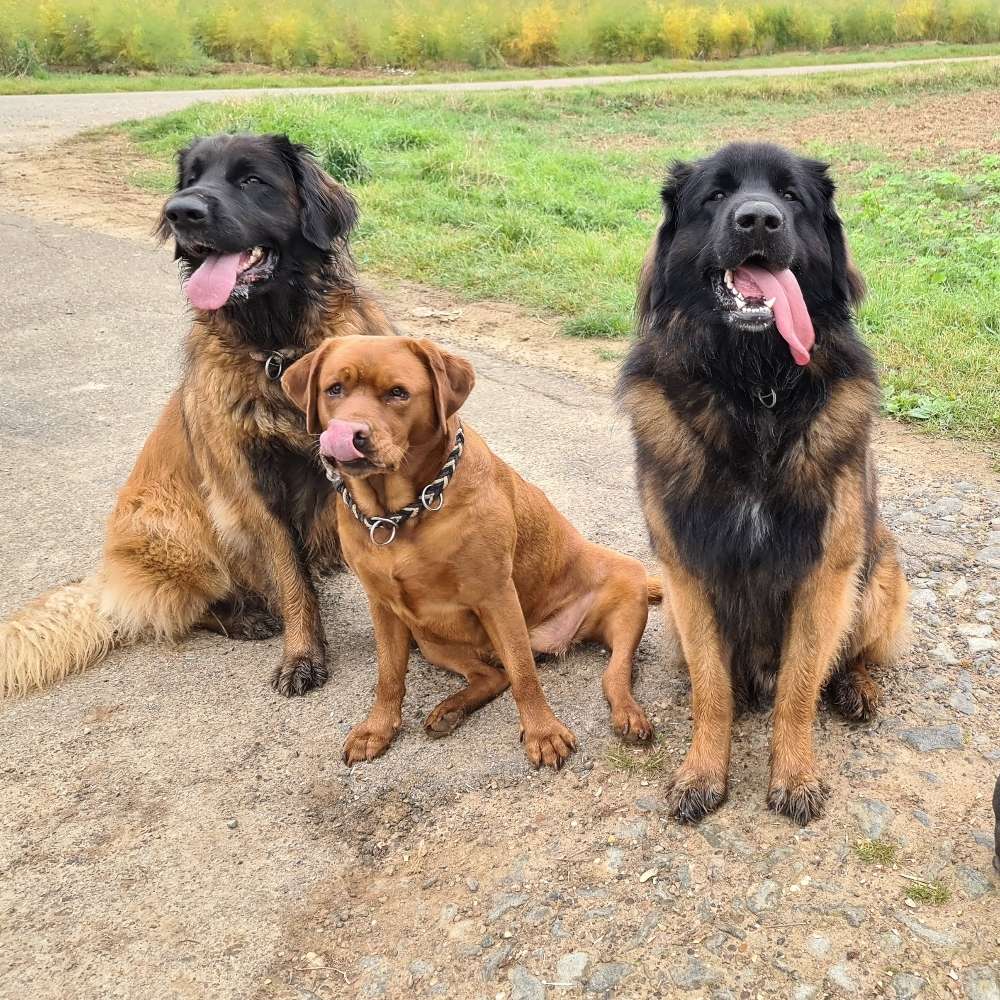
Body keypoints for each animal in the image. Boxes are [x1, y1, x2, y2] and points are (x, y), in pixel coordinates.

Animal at [4, 133, 394, 700]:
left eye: (252, 180)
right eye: (191, 180)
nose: (180, 212)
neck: (277, 351)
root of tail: (104, 580)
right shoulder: (255, 490)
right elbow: (291, 579)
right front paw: (302, 655)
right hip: (176, 530)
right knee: (178, 610)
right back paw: (248, 616)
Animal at [620, 143, 912, 828]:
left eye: (790, 196)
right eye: (716, 195)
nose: (758, 220)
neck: (754, 389)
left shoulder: (824, 571)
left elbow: (801, 687)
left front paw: (795, 774)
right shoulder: (688, 571)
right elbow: (711, 689)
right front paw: (703, 771)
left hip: (879, 567)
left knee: (854, 654)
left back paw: (857, 686)